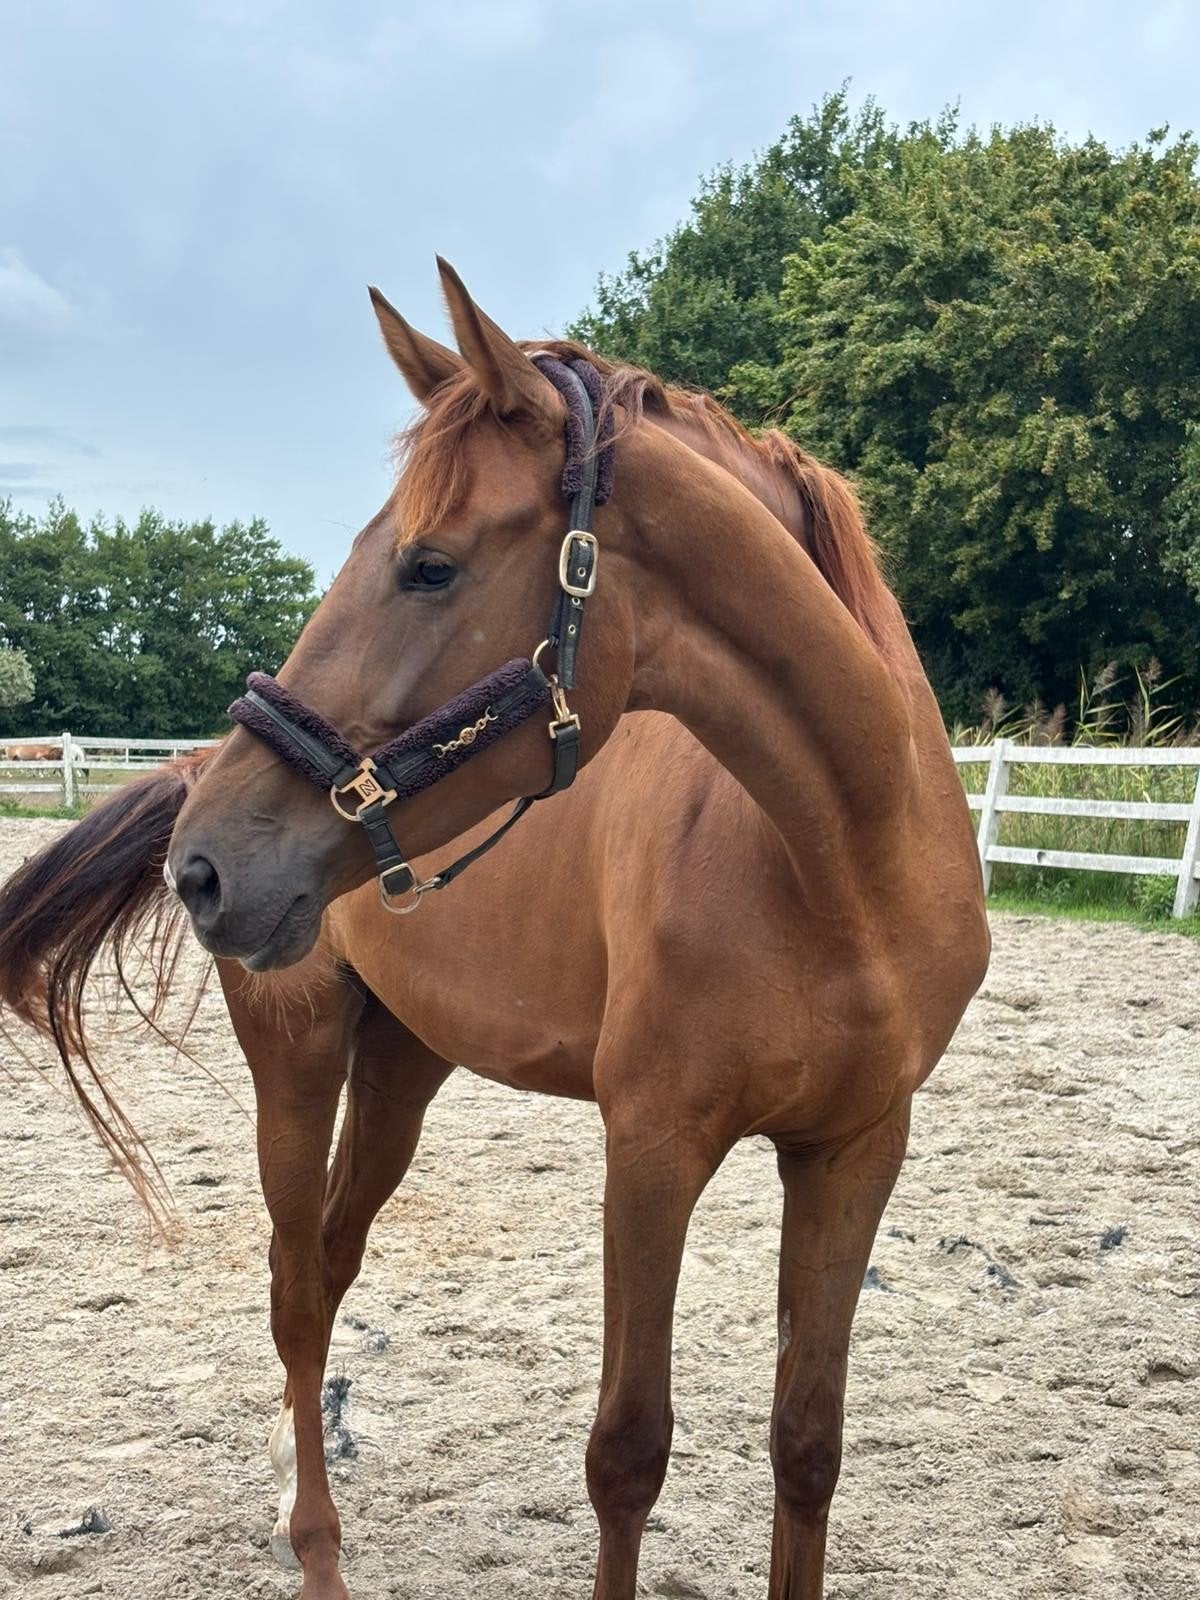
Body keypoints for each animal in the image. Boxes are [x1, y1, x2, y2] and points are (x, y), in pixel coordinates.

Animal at [0, 260, 990, 1600]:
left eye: (428, 565)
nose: (203, 867)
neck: (840, 864)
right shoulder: (653, 1145)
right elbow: (628, 1450)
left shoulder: (854, 1149)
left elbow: (808, 1442)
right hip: (299, 1061)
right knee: (297, 1290)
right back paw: (316, 1550)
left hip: (404, 1065)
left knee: (332, 1260)